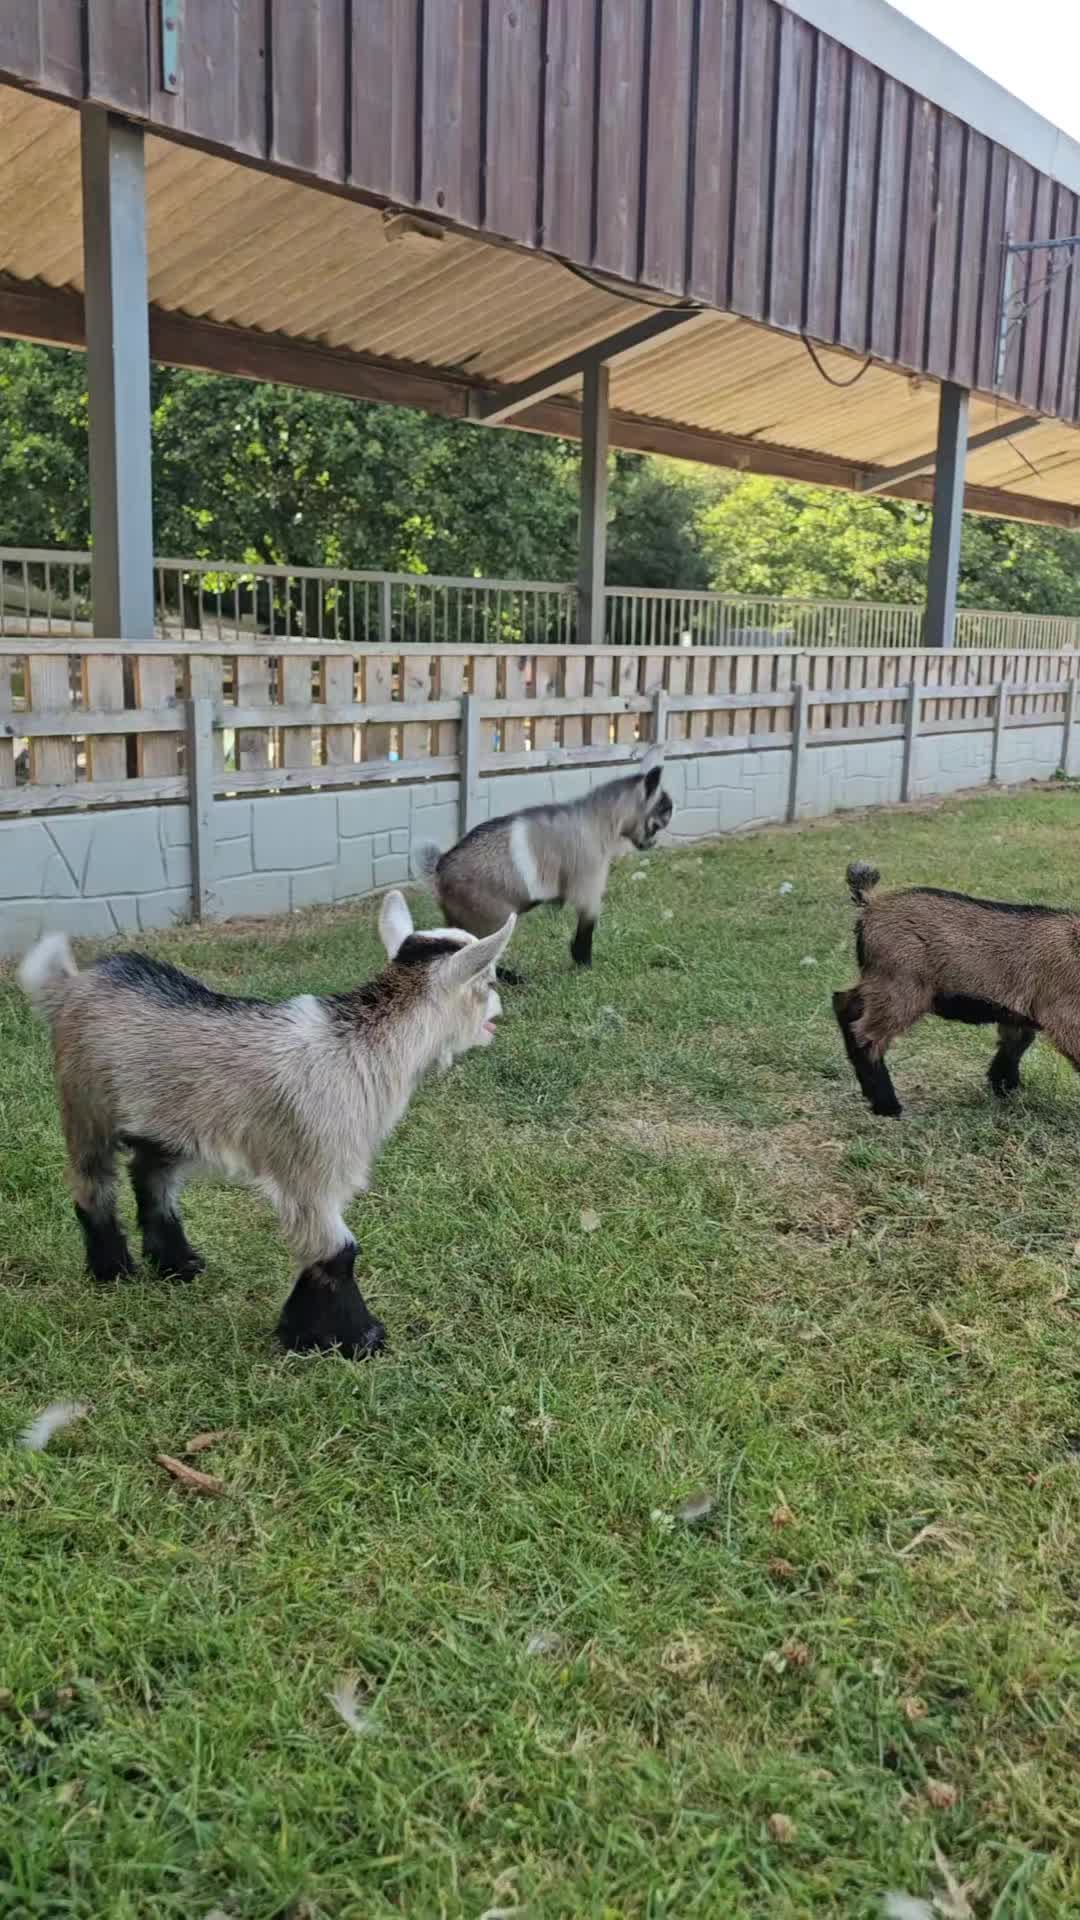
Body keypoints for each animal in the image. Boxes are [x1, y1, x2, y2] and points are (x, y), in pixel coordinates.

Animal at [18, 892, 515, 1356]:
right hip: (86, 1105)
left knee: (151, 1176)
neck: (362, 1045)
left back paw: (178, 1265)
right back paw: (113, 1270)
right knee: (93, 1182)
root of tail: (73, 982)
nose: (499, 1012)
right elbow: (336, 1250)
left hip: (165, 1120)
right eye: (490, 979)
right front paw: (353, 1339)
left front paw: (307, 1332)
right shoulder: (314, 1169)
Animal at [415, 746, 674, 979]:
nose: (652, 843)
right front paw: (583, 964)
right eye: (663, 809)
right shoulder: (587, 886)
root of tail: (438, 872)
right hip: (490, 919)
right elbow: (587, 926)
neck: (597, 819)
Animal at [832, 860, 1075, 1118]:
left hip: (880, 981)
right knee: (866, 1034)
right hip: (901, 988)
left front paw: (1004, 1089)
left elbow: (1015, 1043)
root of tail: (873, 903)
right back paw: (887, 1105)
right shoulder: (1063, 1016)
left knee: (844, 1003)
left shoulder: (1018, 1013)